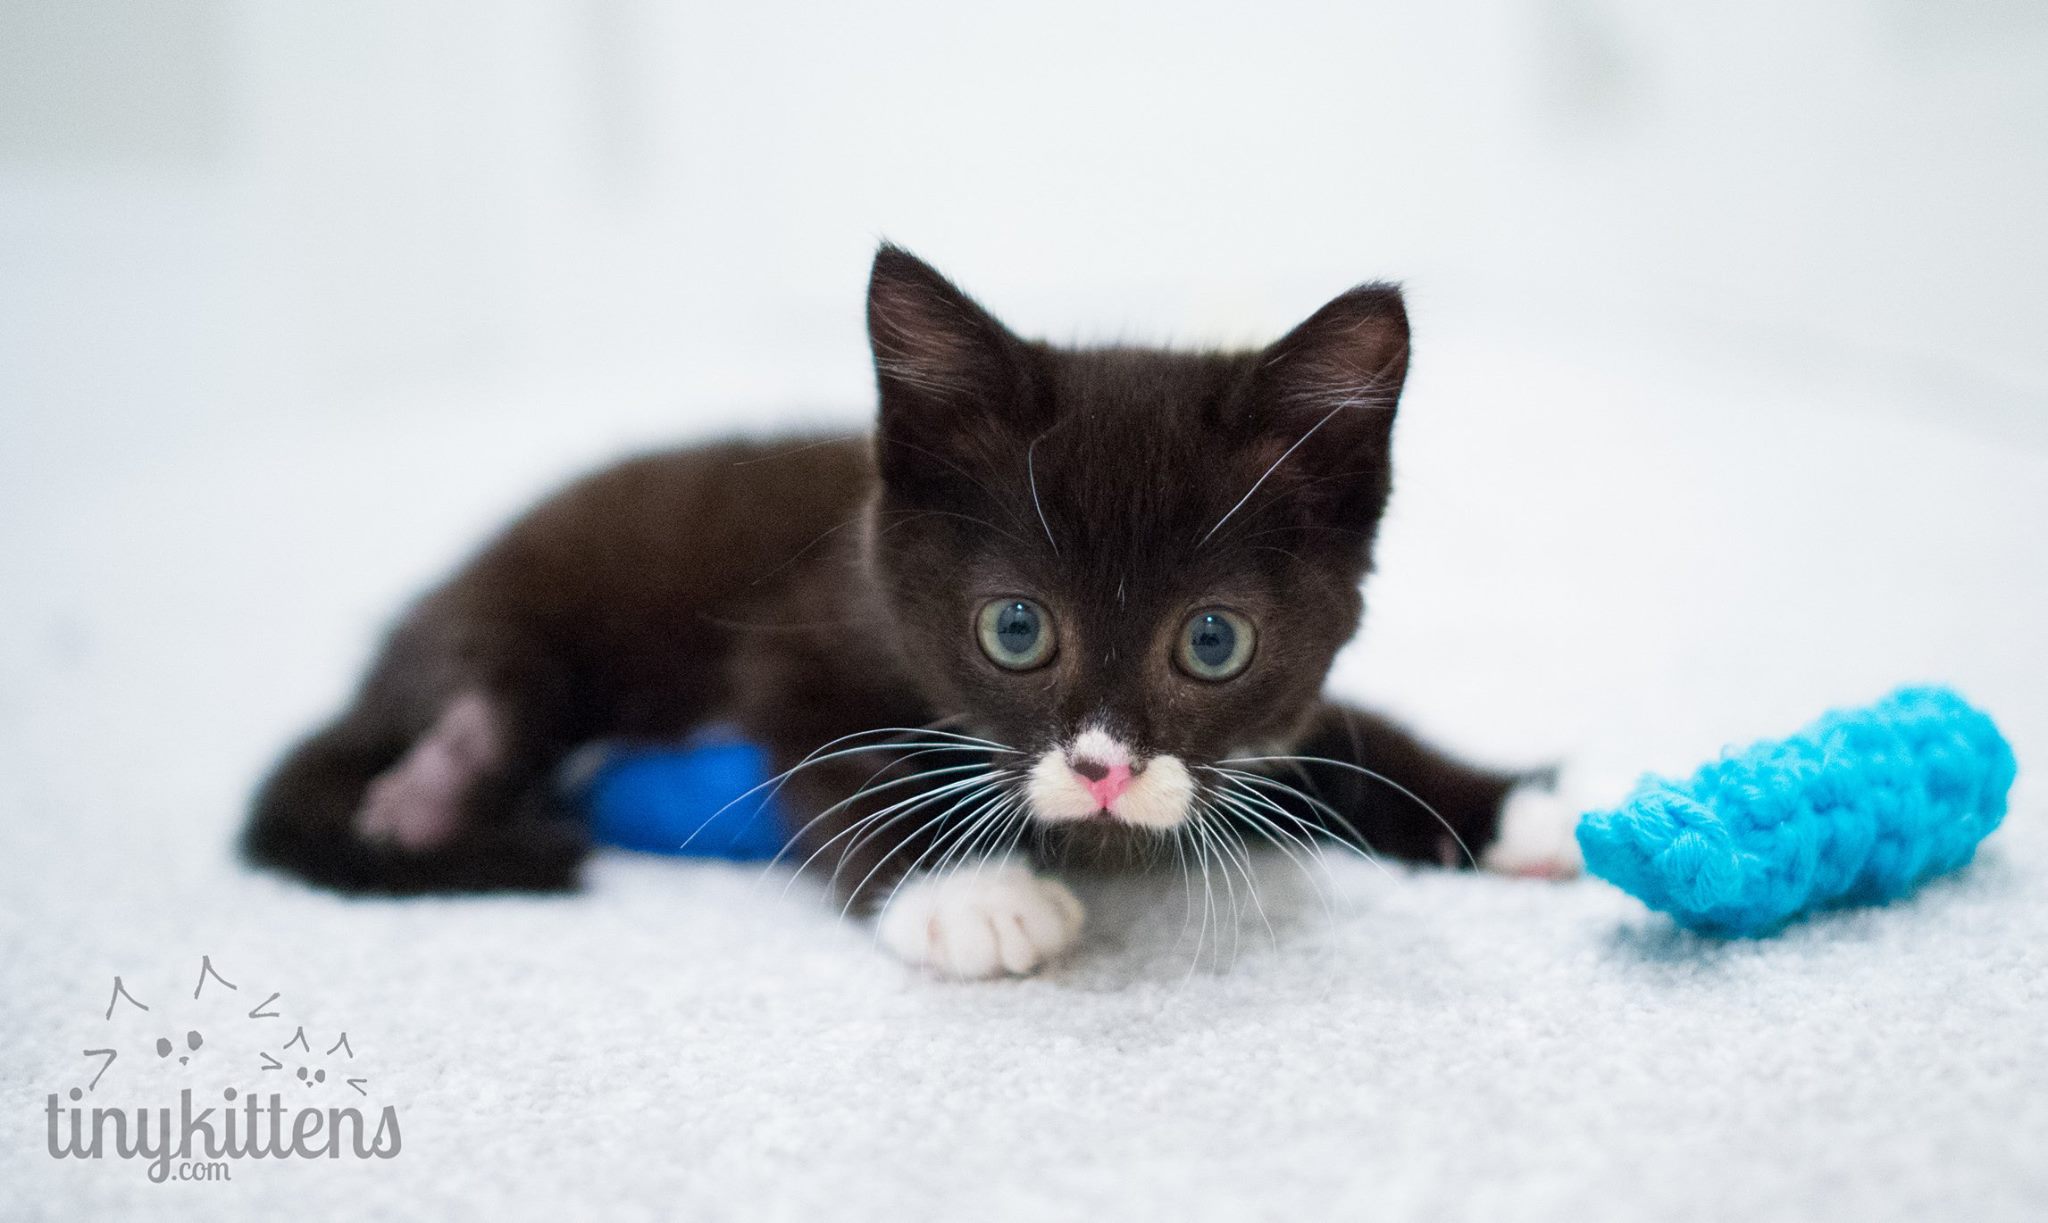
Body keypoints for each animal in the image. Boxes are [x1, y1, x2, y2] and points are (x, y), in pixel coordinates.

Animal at [247, 245, 1572, 971]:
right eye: (1015, 629)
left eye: (1213, 639)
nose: (1101, 767)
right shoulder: (797, 633)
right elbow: (844, 761)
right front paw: (971, 896)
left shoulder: (1274, 720)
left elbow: (1353, 739)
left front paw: (1518, 810)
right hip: (514, 637)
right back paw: (436, 778)